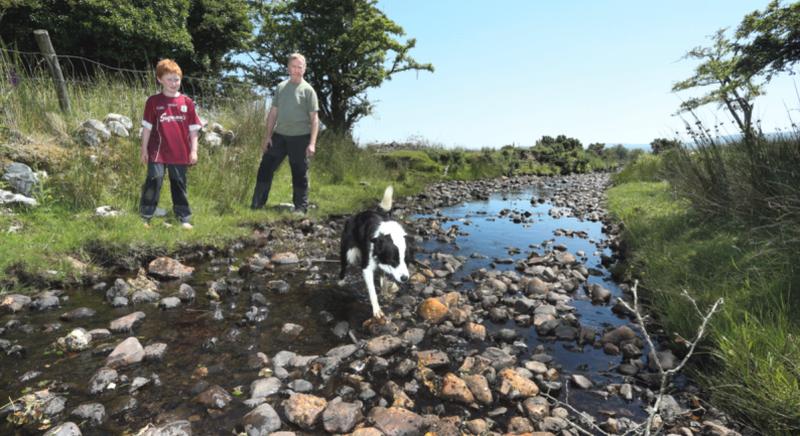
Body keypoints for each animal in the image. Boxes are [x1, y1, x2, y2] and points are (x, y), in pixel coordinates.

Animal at [340, 186, 412, 318]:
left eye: (407, 260)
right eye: (393, 260)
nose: (405, 278)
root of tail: (357, 215)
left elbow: (385, 281)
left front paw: (385, 293)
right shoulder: (367, 268)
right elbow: (372, 291)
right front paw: (377, 310)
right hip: (348, 252)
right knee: (343, 265)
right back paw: (341, 282)